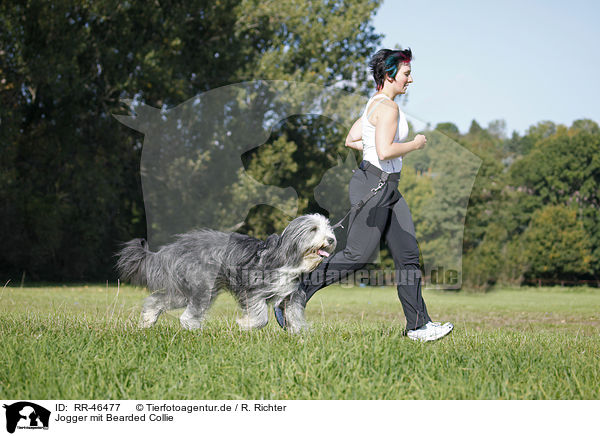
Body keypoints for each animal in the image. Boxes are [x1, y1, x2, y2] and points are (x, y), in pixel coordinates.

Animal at [115, 215, 336, 334]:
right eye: (314, 229)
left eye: (328, 228)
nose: (331, 239)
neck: (286, 257)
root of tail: (173, 249)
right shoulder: (253, 291)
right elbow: (261, 318)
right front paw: (245, 325)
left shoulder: (291, 295)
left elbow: (295, 315)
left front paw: (300, 334)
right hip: (201, 287)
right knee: (187, 315)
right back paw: (195, 331)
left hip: (184, 291)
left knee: (157, 301)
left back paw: (147, 322)